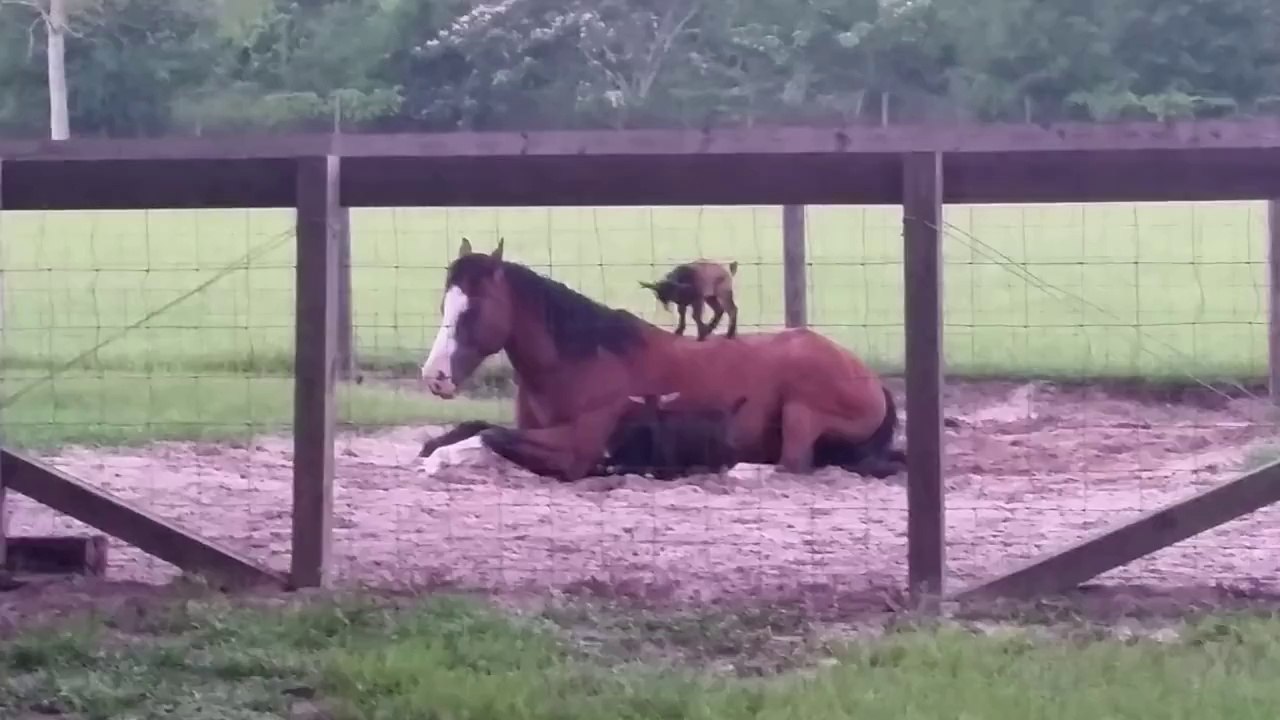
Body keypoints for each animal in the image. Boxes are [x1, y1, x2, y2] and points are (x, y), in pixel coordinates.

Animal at [417, 237, 904, 482]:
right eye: (444, 305)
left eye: (473, 309)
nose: (435, 376)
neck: (582, 359)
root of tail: (870, 378)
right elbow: (477, 427)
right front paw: (434, 448)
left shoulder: (575, 447)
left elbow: (489, 436)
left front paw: (441, 458)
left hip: (802, 411)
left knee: (792, 465)